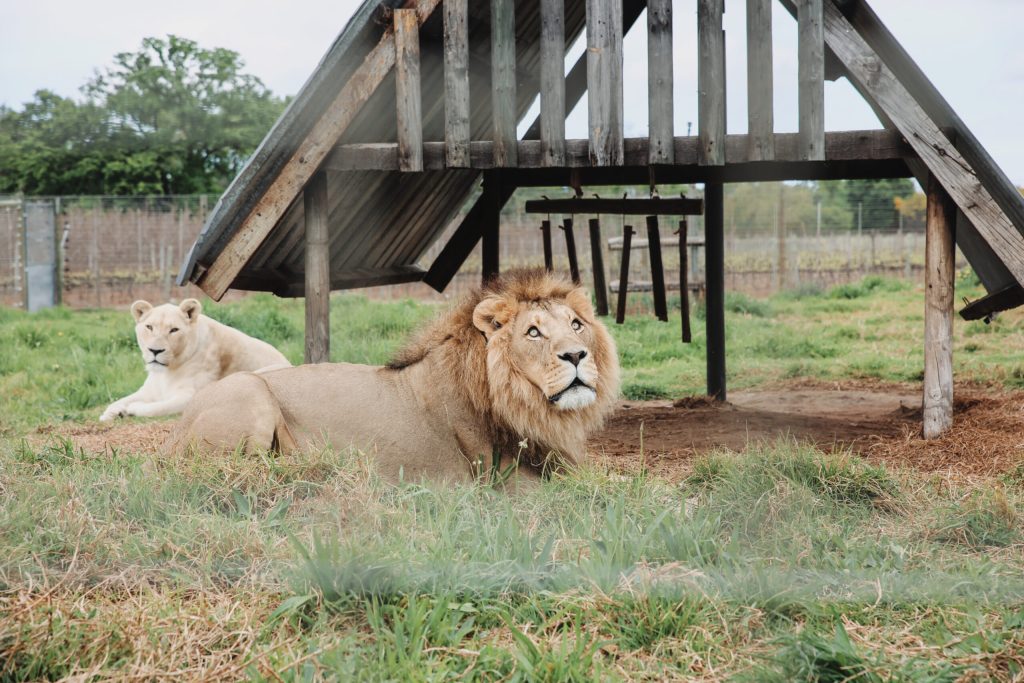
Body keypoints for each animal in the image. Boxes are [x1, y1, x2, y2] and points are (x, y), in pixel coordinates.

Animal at [99, 299, 290, 421]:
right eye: (149, 327)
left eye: (174, 330)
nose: (155, 350)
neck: (166, 372)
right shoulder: (150, 390)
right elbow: (122, 399)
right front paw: (110, 413)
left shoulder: (191, 396)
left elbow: (158, 407)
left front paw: (131, 409)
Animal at [163, 270, 618, 483]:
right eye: (533, 332)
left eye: (576, 325)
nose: (576, 355)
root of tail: (174, 432)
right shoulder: (507, 483)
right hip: (250, 392)